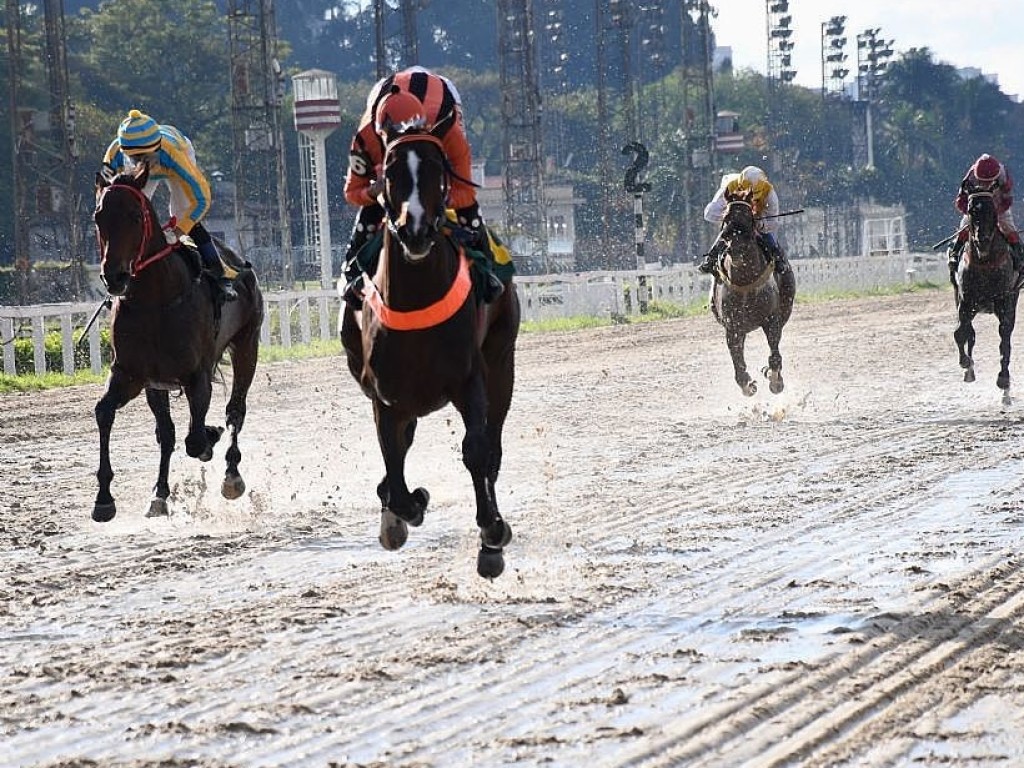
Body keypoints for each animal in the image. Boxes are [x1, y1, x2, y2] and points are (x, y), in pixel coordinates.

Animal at [342, 131, 520, 577]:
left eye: (438, 169)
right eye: (390, 172)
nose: (416, 230)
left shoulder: (470, 381)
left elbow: (476, 451)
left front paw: (491, 532)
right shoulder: (386, 398)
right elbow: (393, 464)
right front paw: (405, 509)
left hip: (502, 366)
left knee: (493, 447)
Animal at [708, 190, 794, 399]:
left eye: (749, 218)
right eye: (726, 218)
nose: (737, 249)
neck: (745, 283)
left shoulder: (772, 320)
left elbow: (774, 356)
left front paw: (775, 380)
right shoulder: (732, 327)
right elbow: (738, 364)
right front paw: (748, 385)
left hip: (785, 309)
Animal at [950, 190, 1015, 403]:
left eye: (993, 210)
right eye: (971, 211)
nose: (983, 240)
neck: (984, 260)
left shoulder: (1004, 300)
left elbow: (1004, 340)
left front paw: (1003, 381)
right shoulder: (965, 299)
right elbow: (961, 333)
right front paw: (965, 363)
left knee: (1005, 337)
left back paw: (1005, 387)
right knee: (970, 334)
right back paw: (970, 370)